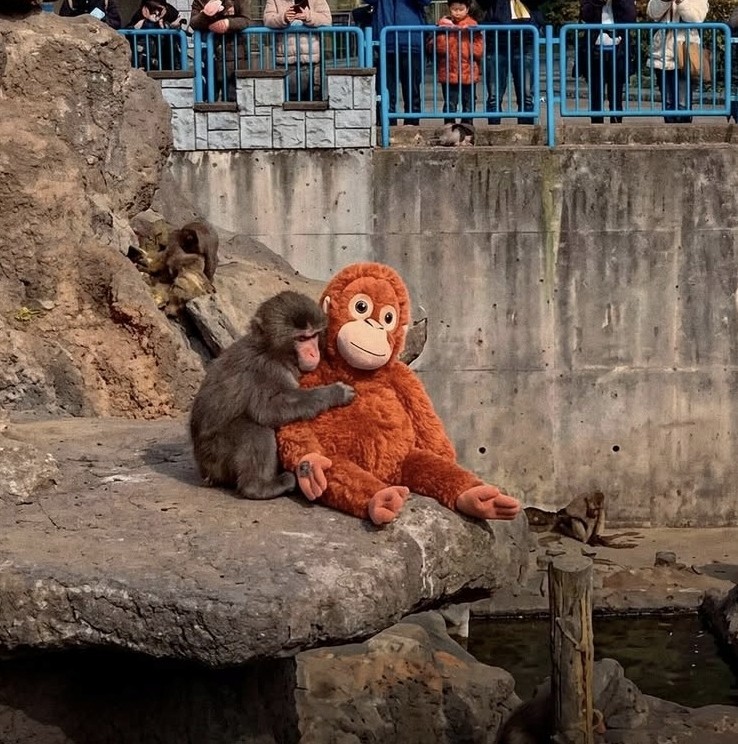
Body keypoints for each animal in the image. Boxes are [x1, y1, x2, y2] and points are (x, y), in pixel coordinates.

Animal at [189, 291, 355, 500]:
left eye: (314, 336)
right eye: (301, 339)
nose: (313, 353)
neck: (272, 351)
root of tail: (203, 469)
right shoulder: (266, 370)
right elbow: (268, 409)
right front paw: (336, 392)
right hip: (215, 454)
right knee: (254, 429)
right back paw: (259, 487)